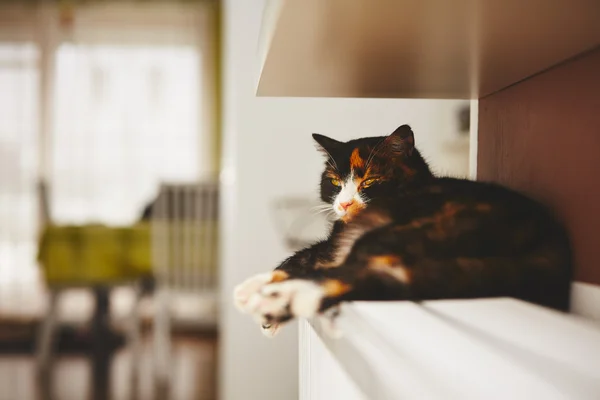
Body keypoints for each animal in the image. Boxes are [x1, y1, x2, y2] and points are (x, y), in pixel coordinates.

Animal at [232, 125, 568, 338]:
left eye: (369, 181)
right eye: (335, 182)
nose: (344, 203)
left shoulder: (334, 244)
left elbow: (303, 257)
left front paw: (258, 286)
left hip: (397, 231)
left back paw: (276, 300)